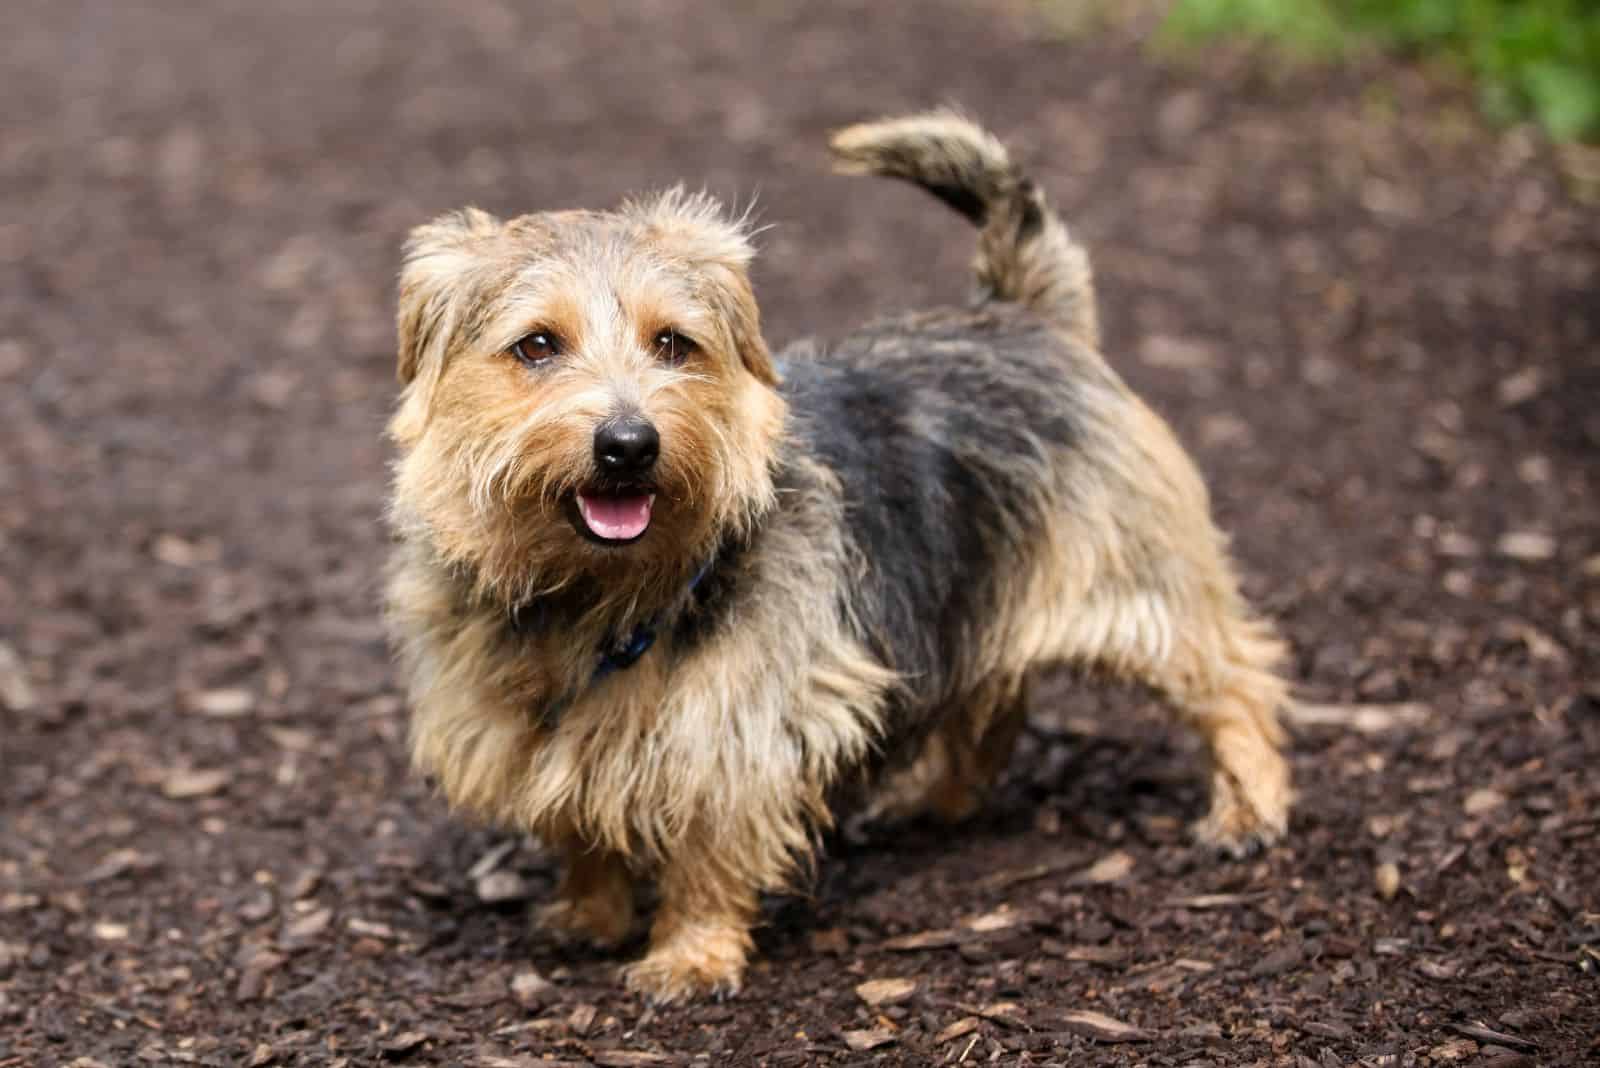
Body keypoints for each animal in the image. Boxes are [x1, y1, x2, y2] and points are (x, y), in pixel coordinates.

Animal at [384, 112, 1286, 1004]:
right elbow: (579, 823)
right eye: (537, 346)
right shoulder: (533, 727)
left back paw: (1251, 809)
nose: (630, 444)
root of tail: (1026, 315)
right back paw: (936, 798)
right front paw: (589, 913)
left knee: (1233, 677)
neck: (599, 591)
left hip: (1135, 586)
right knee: (991, 697)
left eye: (674, 344)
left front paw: (691, 957)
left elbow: (709, 848)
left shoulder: (738, 727)